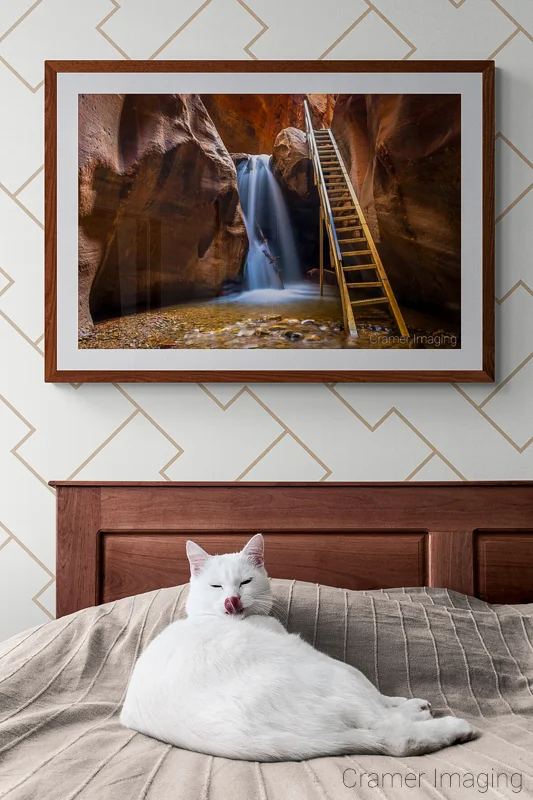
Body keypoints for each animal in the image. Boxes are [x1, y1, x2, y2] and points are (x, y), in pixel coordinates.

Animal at [121, 536, 478, 760]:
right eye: (216, 586)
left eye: (245, 582)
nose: (231, 599)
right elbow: (377, 695)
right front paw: (405, 704)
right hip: (326, 670)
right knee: (391, 731)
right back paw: (446, 723)